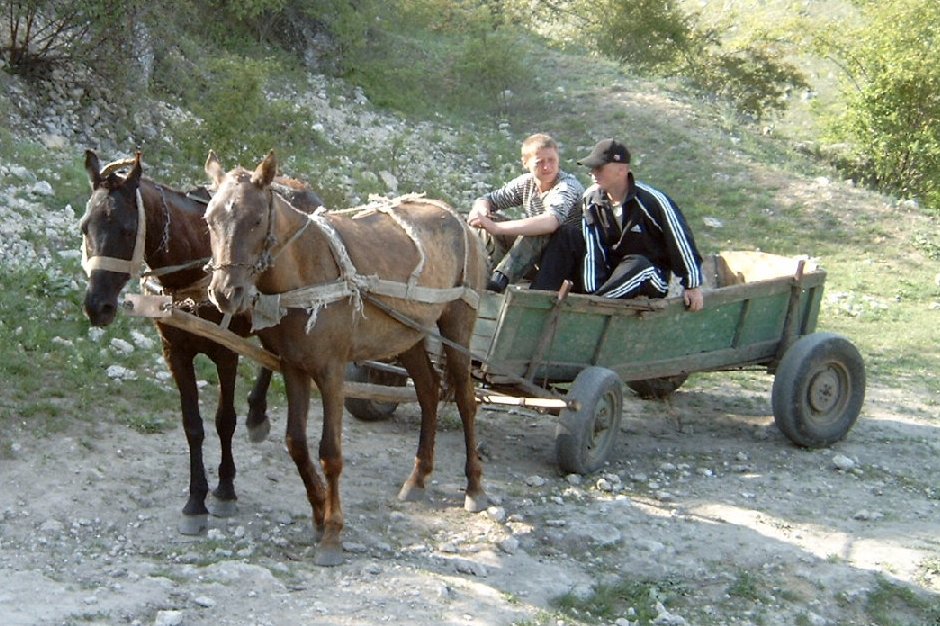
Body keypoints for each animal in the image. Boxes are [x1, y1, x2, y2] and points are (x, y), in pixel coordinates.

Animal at [81, 150, 324, 532]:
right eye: (84, 227)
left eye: (126, 229)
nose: (97, 306)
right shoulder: (175, 353)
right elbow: (192, 425)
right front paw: (196, 499)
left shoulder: (226, 352)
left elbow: (225, 421)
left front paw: (224, 489)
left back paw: (257, 411)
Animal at [203, 149, 488, 564]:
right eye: (209, 220)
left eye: (255, 220)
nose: (226, 292)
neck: (306, 271)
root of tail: (458, 218)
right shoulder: (293, 368)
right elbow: (297, 443)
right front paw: (318, 514)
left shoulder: (331, 373)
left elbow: (330, 453)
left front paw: (333, 533)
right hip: (410, 334)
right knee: (428, 392)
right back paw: (418, 478)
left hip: (456, 328)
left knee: (466, 401)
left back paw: (474, 487)